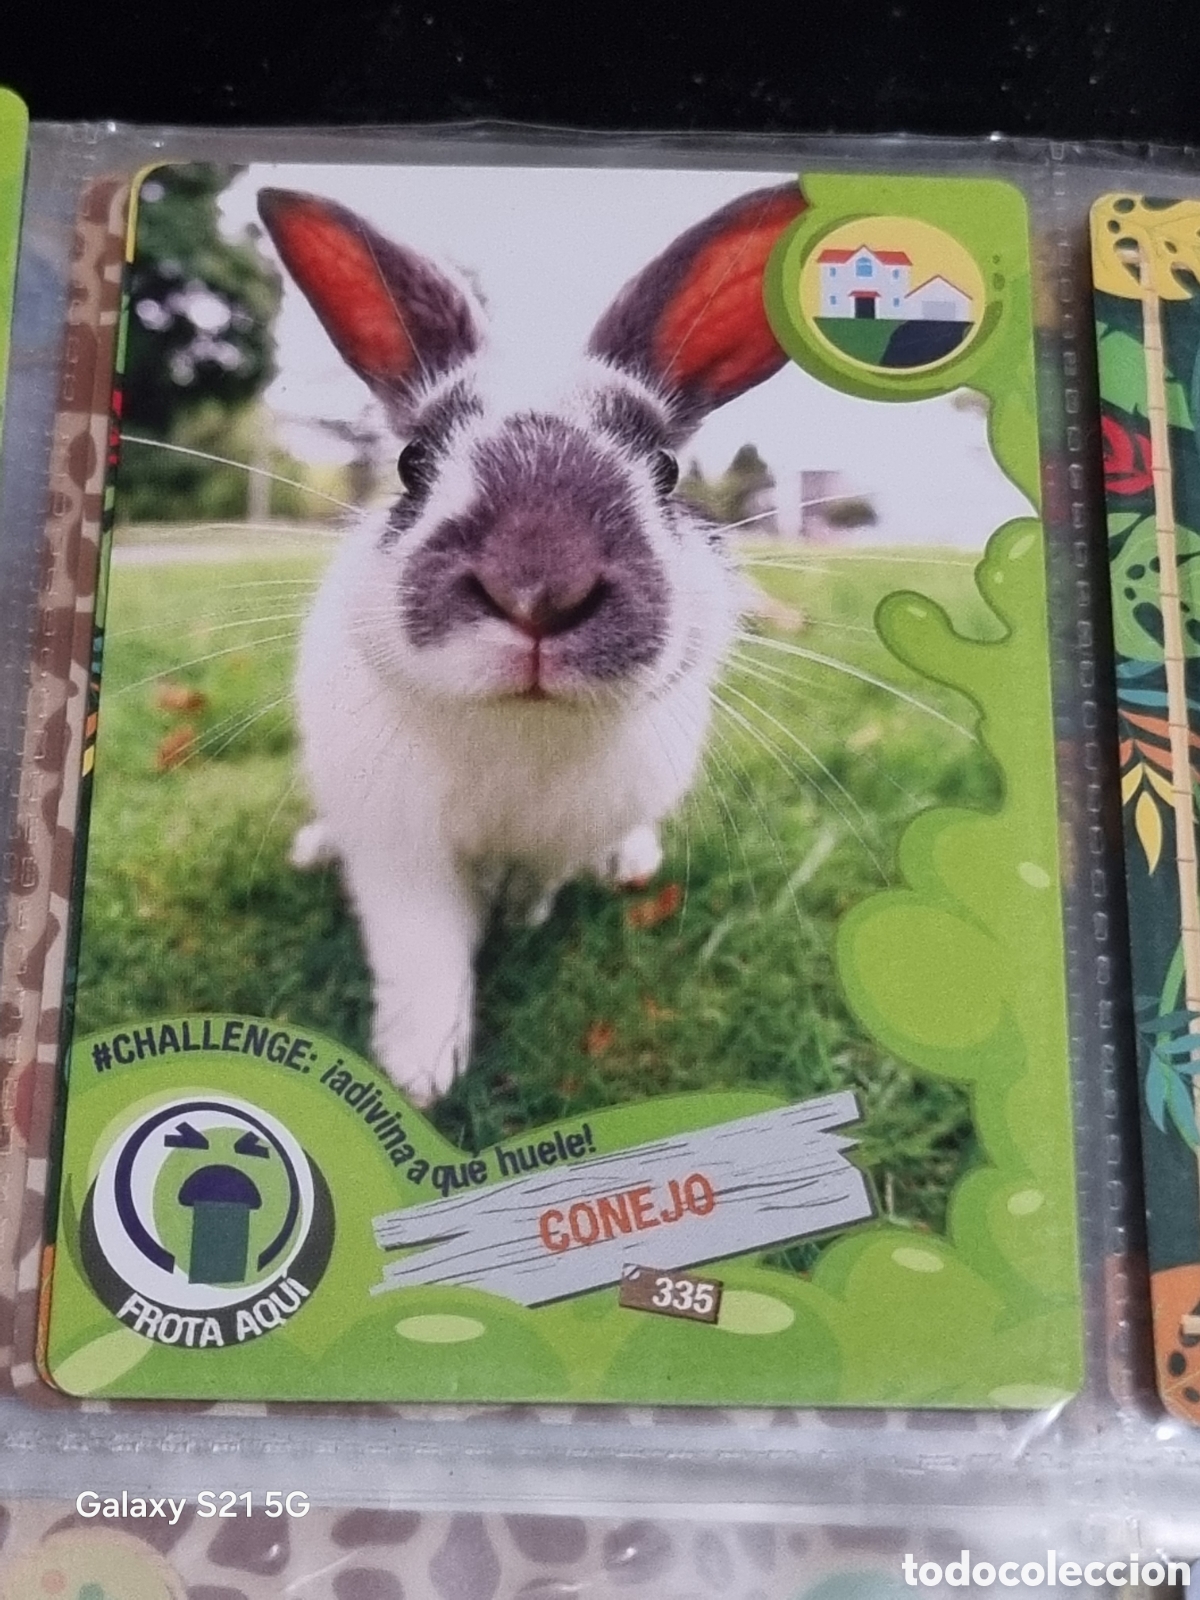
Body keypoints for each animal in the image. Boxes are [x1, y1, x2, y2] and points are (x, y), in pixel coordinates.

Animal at [255, 180, 807, 1105]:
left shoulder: (562, 838)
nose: (538, 585)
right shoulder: (401, 853)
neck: (520, 728)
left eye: (665, 470)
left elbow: (534, 887)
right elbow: (425, 951)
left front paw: (519, 918)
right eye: (412, 463)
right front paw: (419, 1075)